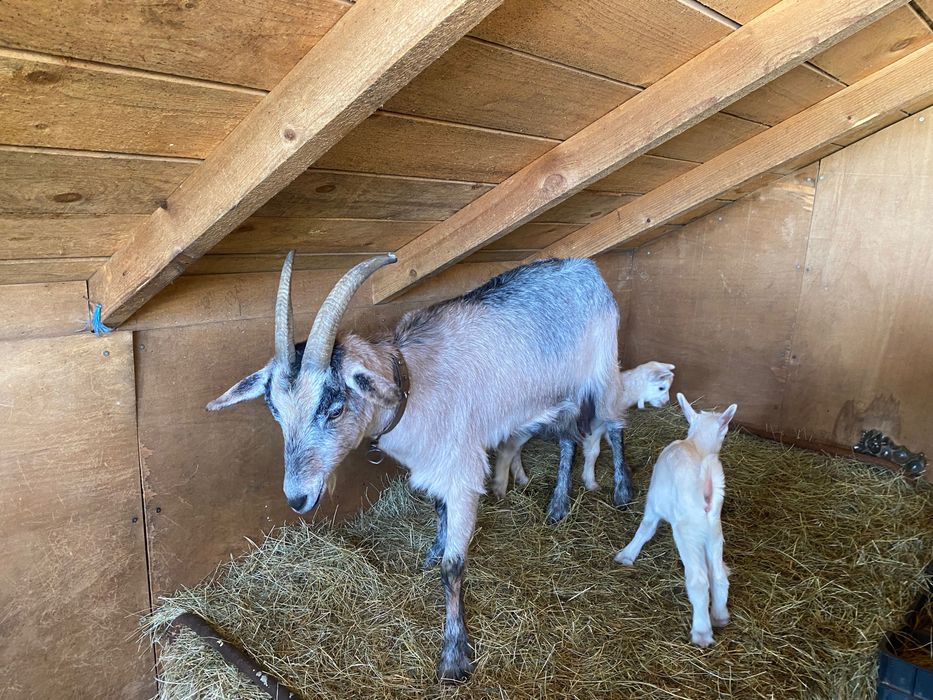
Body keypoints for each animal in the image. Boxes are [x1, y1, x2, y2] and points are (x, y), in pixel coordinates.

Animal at [207, 253, 625, 681]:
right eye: (276, 412)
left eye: (335, 408)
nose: (297, 498)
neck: (414, 382)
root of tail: (586, 267)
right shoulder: (436, 465)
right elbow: (439, 512)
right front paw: (431, 553)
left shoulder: (461, 471)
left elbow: (454, 567)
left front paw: (454, 656)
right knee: (567, 437)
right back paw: (554, 502)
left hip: (601, 374)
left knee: (611, 426)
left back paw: (616, 491)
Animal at [491, 361, 675, 521]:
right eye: (661, 387)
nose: (665, 402)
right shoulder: (593, 429)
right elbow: (594, 452)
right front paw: (590, 481)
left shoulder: (606, 426)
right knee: (507, 449)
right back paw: (500, 488)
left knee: (514, 449)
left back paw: (521, 478)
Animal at [614, 393, 736, 648]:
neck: (696, 445)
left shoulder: (653, 504)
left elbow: (645, 529)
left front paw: (627, 555)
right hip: (713, 532)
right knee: (718, 577)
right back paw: (720, 616)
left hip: (687, 532)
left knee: (699, 580)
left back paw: (702, 632)